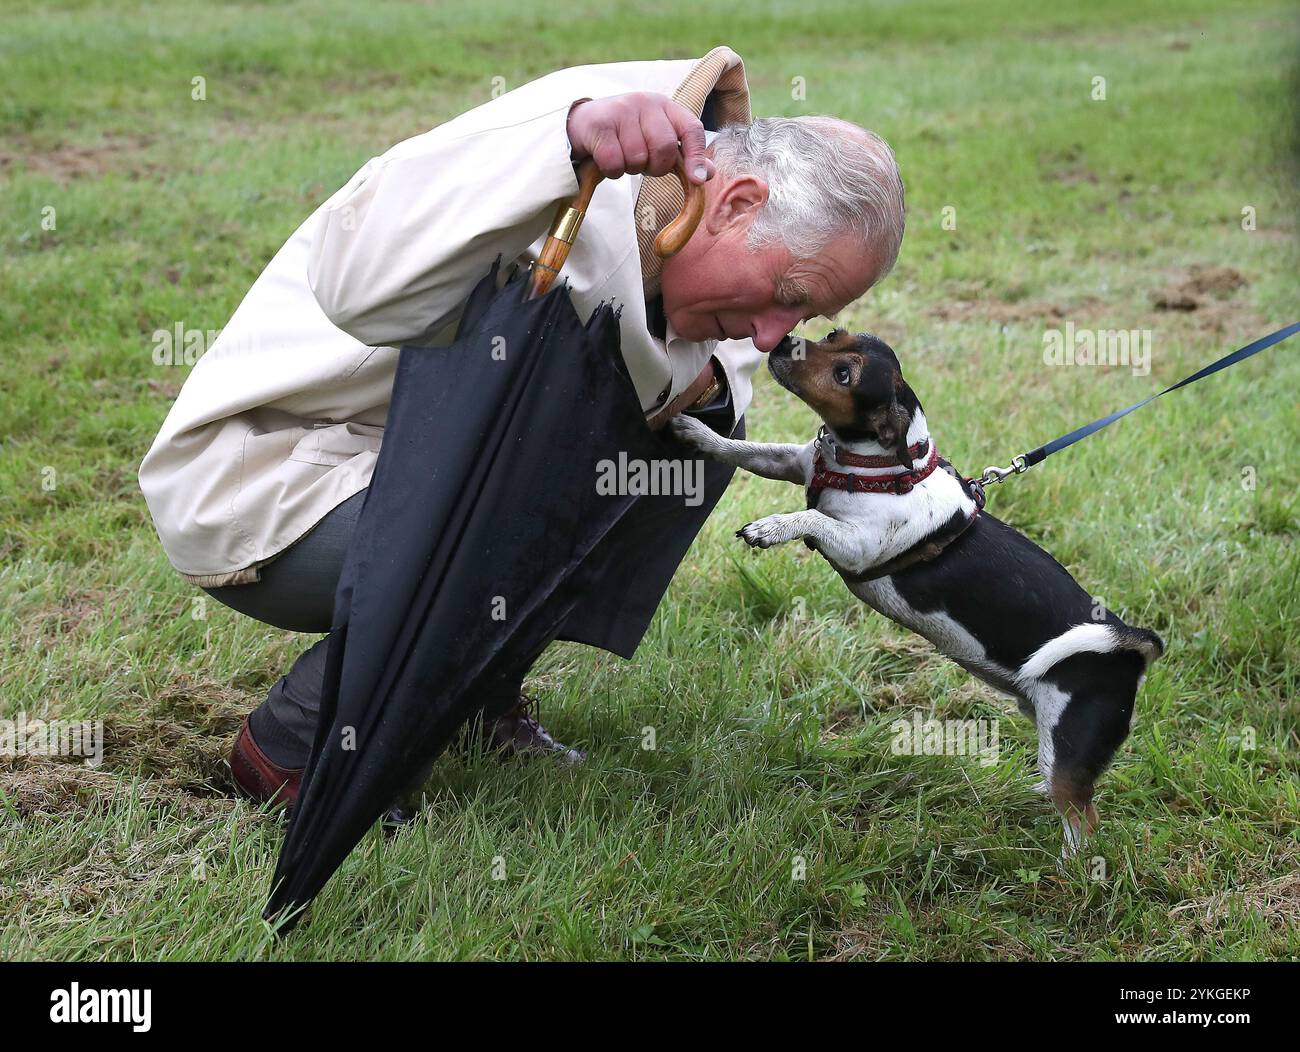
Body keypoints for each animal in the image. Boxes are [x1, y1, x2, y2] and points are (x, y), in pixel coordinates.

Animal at [676, 330, 1164, 853]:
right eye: (833, 336)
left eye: (844, 374)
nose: (785, 341)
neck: (874, 464)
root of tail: (1131, 644)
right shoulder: (790, 461)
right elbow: (744, 450)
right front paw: (696, 431)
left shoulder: (856, 545)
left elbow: (811, 517)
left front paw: (771, 527)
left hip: (1070, 747)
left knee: (1083, 816)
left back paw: (1068, 866)